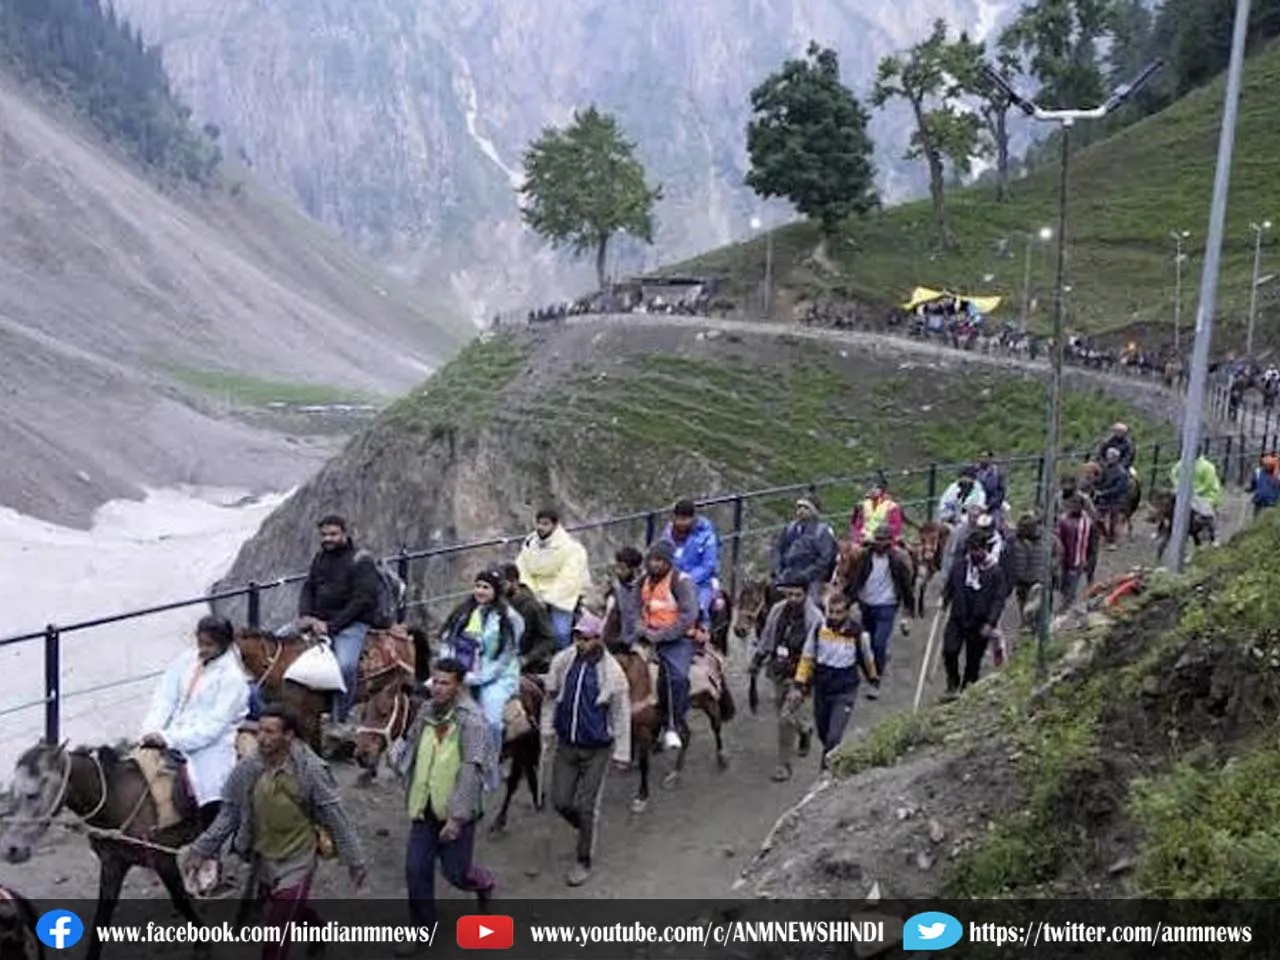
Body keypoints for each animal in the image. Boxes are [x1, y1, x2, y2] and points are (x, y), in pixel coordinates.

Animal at [350, 670, 545, 839]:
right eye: (363, 714)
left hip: (521, 749)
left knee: (513, 782)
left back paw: (500, 821)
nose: (361, 755)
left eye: (384, 713)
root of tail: (532, 683)